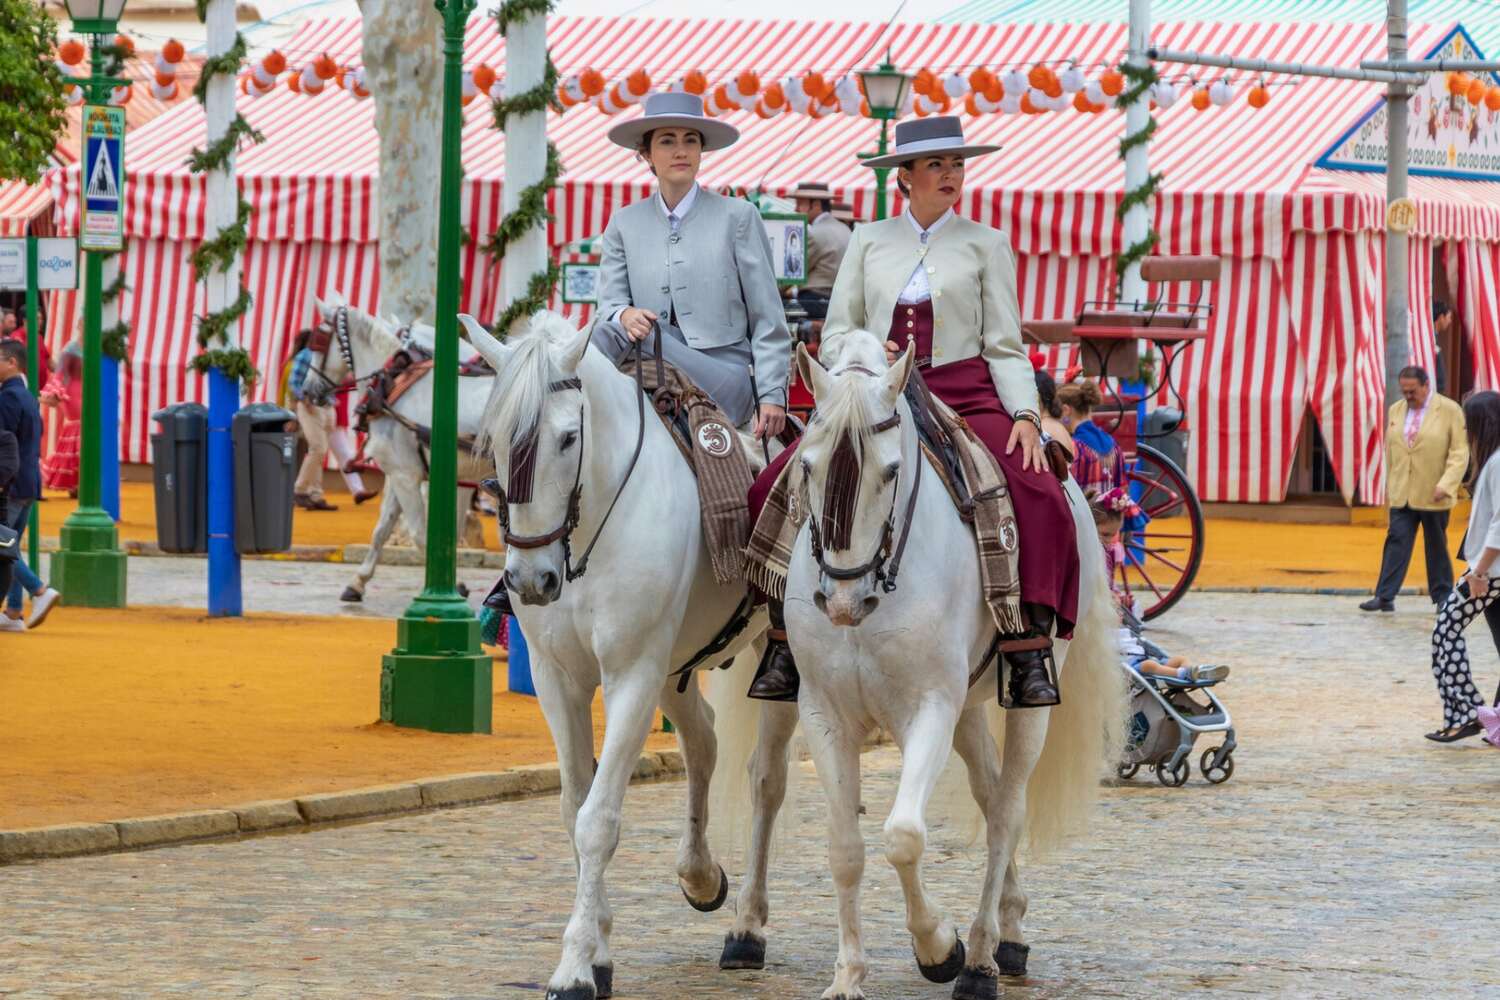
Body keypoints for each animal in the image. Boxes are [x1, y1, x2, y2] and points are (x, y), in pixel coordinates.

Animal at [301, 290, 495, 602]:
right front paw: (358, 581)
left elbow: (422, 535)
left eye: (318, 341)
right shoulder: (401, 473)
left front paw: (451, 587)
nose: (307, 391)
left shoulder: (408, 477)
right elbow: (382, 529)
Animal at [456, 308, 804, 995]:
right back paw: (700, 875)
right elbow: (574, 808)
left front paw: (573, 967)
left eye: (568, 437)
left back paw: (747, 927)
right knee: (704, 742)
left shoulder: (630, 677)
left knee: (765, 781)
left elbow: (598, 820)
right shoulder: (558, 680)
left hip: (758, 662)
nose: (530, 580)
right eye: (496, 437)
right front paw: (599, 951)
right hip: (676, 668)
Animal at [786, 334, 1128, 1000]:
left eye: (891, 473)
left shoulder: (929, 711)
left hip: (1024, 701)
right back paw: (1009, 930)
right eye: (807, 467)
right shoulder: (825, 715)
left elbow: (903, 837)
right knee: (991, 795)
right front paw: (847, 976)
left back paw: (982, 958)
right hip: (968, 709)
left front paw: (940, 947)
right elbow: (845, 849)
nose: (841, 602)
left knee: (1007, 811)